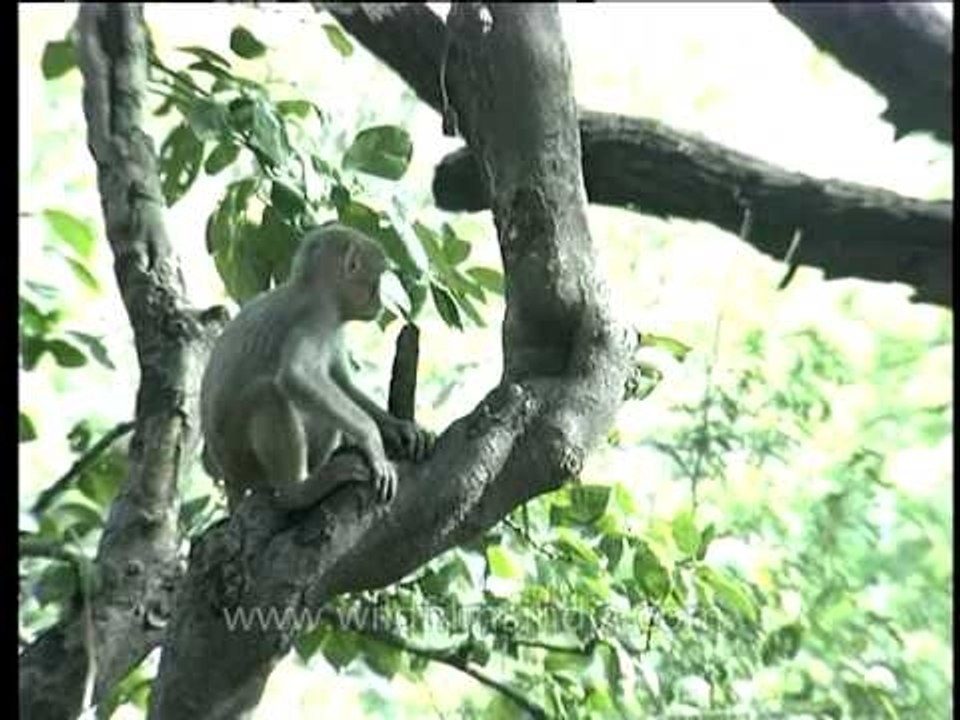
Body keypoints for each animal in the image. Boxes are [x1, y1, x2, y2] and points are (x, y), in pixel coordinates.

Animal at [199, 222, 435, 513]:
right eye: (379, 278)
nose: (380, 302)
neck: (315, 290)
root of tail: (229, 479)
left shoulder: (334, 326)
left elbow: (341, 384)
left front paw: (401, 428)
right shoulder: (317, 317)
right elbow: (297, 376)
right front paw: (372, 441)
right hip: (241, 457)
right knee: (269, 393)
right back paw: (298, 491)